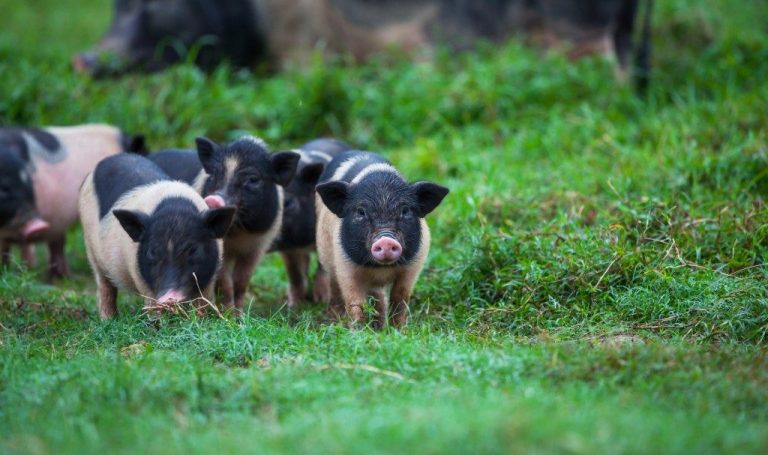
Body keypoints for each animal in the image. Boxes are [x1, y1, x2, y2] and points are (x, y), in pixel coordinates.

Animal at [79, 153, 235, 319]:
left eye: (193, 249)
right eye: (152, 252)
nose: (169, 297)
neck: (174, 209)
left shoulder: (210, 277)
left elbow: (202, 302)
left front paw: (201, 319)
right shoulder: (141, 278)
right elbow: (152, 304)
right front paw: (157, 322)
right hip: (91, 250)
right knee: (105, 286)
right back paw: (108, 319)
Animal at [149, 137, 300, 312]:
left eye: (253, 179)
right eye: (215, 173)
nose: (214, 199)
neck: (239, 234)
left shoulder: (258, 247)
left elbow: (241, 281)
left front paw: (239, 314)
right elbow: (225, 283)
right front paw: (227, 313)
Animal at [315, 151, 449, 328]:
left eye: (405, 211)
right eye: (361, 212)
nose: (386, 240)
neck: (380, 269)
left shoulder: (414, 264)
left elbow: (400, 297)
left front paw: (399, 329)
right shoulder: (344, 263)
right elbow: (355, 301)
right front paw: (357, 330)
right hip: (327, 258)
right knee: (335, 290)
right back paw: (335, 320)